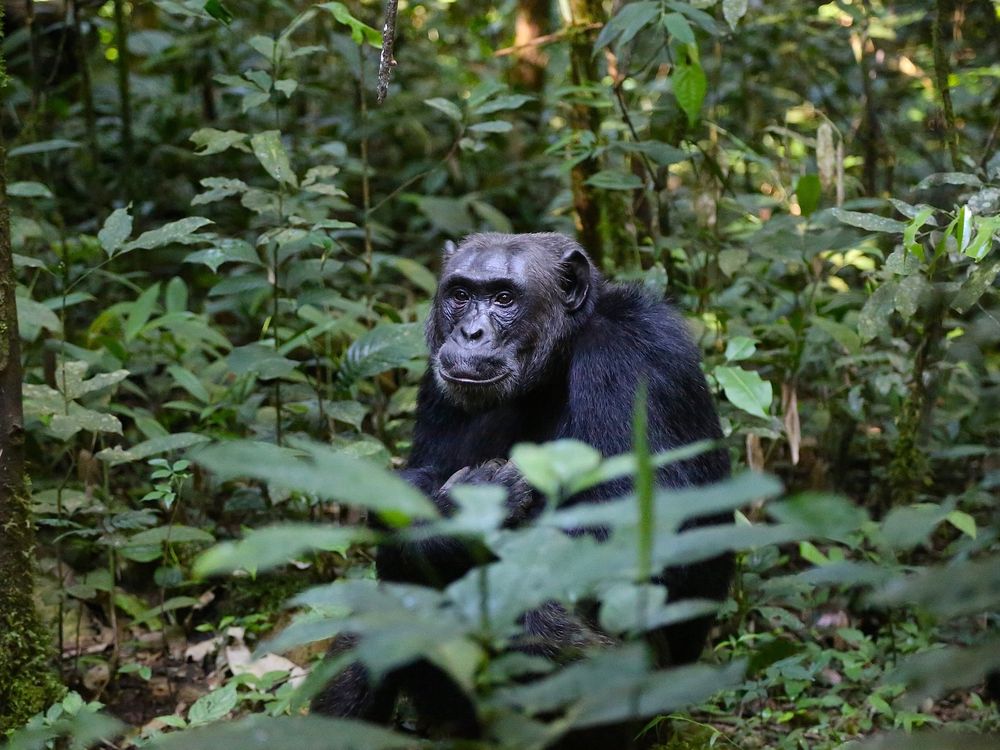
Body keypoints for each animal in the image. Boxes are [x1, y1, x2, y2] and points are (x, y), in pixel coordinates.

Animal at [314, 234, 736, 748]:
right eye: (460, 295)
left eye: (503, 298)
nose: (471, 333)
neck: (556, 362)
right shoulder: (436, 384)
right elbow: (416, 485)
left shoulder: (635, 360)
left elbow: (640, 536)